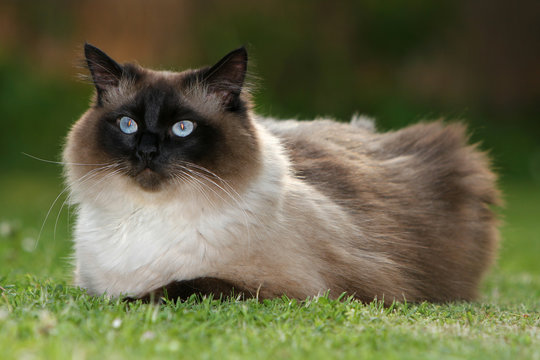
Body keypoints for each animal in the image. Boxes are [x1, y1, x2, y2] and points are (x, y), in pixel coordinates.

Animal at [64, 43, 502, 306]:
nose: (147, 152)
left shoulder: (295, 290)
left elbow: (183, 285)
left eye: (182, 128)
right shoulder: (88, 280)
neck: (147, 220)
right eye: (128, 125)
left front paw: (129, 301)